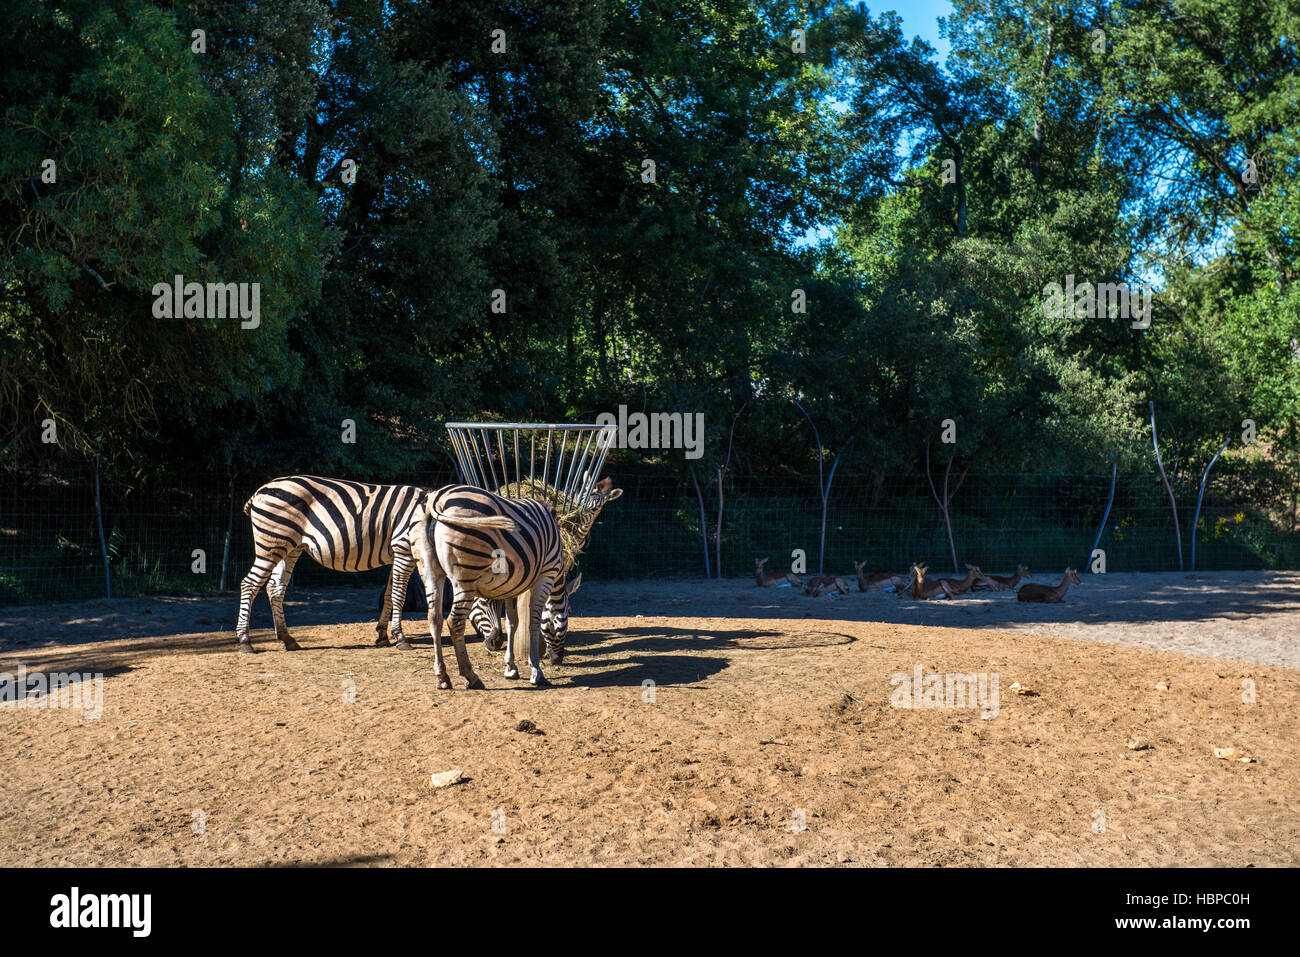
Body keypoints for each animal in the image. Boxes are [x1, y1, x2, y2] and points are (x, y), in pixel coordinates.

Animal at [233, 473, 501, 655]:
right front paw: (401, 638)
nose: (498, 642)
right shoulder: (403, 549)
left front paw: (383, 636)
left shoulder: (397, 553)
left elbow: (389, 596)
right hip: (272, 542)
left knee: (275, 588)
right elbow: (399, 596)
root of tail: (260, 490)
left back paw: (287, 639)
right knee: (249, 584)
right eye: (485, 603)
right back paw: (245, 641)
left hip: (290, 547)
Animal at [423, 486, 566, 686]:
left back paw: (442, 677)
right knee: (454, 622)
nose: (558, 659)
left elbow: (512, 623)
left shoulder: (514, 584)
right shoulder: (546, 574)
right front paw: (536, 671)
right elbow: (534, 621)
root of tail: (440, 497)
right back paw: (471, 676)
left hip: (430, 571)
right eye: (560, 621)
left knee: (434, 619)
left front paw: (510, 668)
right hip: (465, 577)